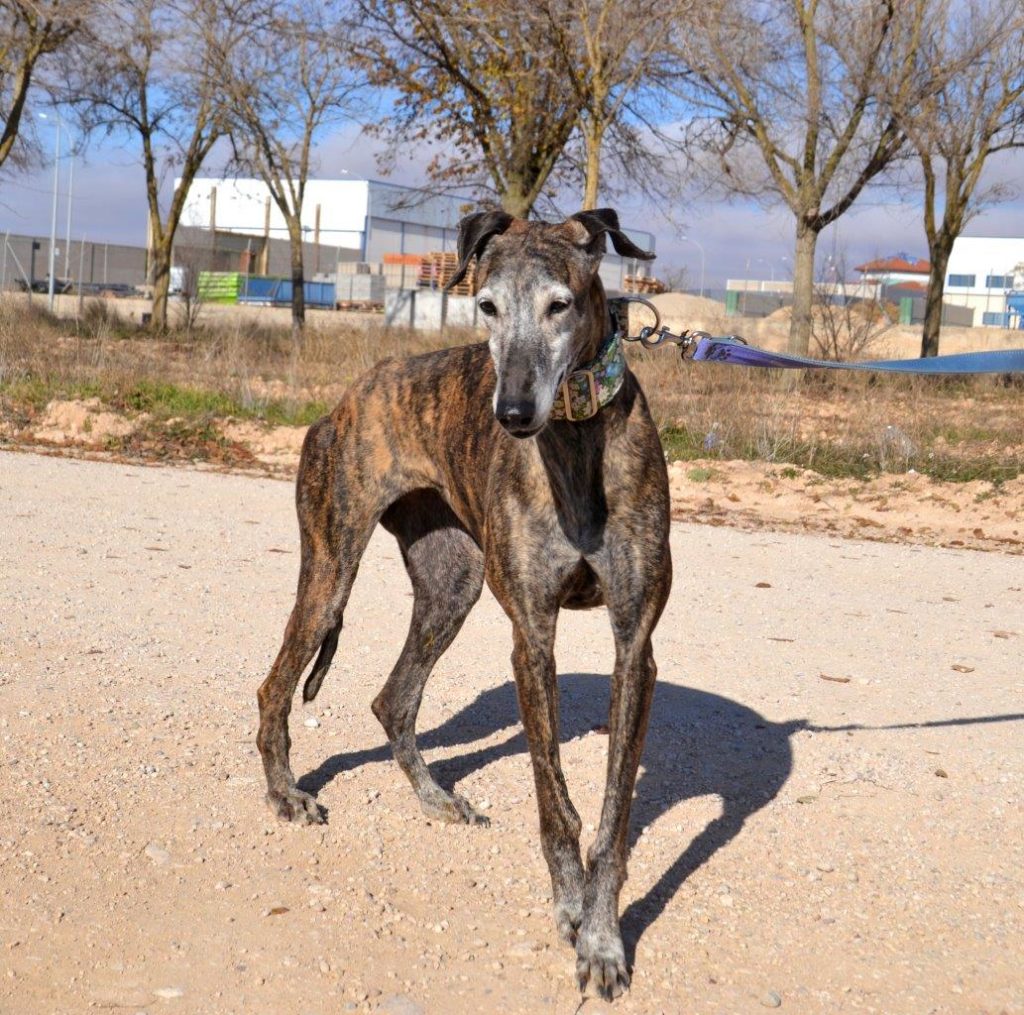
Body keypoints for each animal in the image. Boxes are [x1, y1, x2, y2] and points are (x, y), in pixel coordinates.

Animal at [256, 207, 671, 999]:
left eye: (559, 305)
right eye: (486, 307)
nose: (510, 412)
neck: (575, 438)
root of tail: (346, 399)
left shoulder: (634, 645)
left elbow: (612, 818)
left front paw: (602, 937)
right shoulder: (532, 637)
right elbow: (556, 805)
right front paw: (572, 908)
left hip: (452, 584)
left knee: (393, 700)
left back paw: (438, 799)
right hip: (330, 568)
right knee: (275, 687)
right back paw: (287, 795)